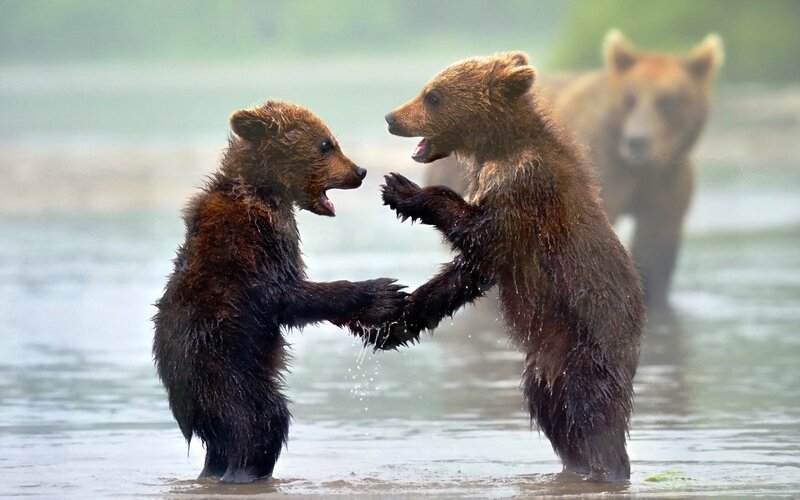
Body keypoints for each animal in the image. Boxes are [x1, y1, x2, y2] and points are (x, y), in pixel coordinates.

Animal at [152, 100, 406, 484]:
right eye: (326, 144)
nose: (360, 171)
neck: (265, 190)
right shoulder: (255, 244)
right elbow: (288, 297)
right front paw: (382, 292)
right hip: (224, 368)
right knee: (260, 421)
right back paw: (245, 470)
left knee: (224, 443)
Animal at [379, 52, 644, 482]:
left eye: (432, 96)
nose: (391, 117)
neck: (498, 148)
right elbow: (468, 271)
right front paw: (396, 321)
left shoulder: (523, 187)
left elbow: (483, 235)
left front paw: (402, 190)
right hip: (544, 370)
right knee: (555, 416)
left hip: (589, 347)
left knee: (594, 415)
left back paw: (606, 468)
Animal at [426, 31, 724, 307]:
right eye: (629, 99)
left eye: (668, 100)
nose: (637, 141)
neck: (639, 170)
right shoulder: (603, 177)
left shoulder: (666, 187)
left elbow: (656, 246)